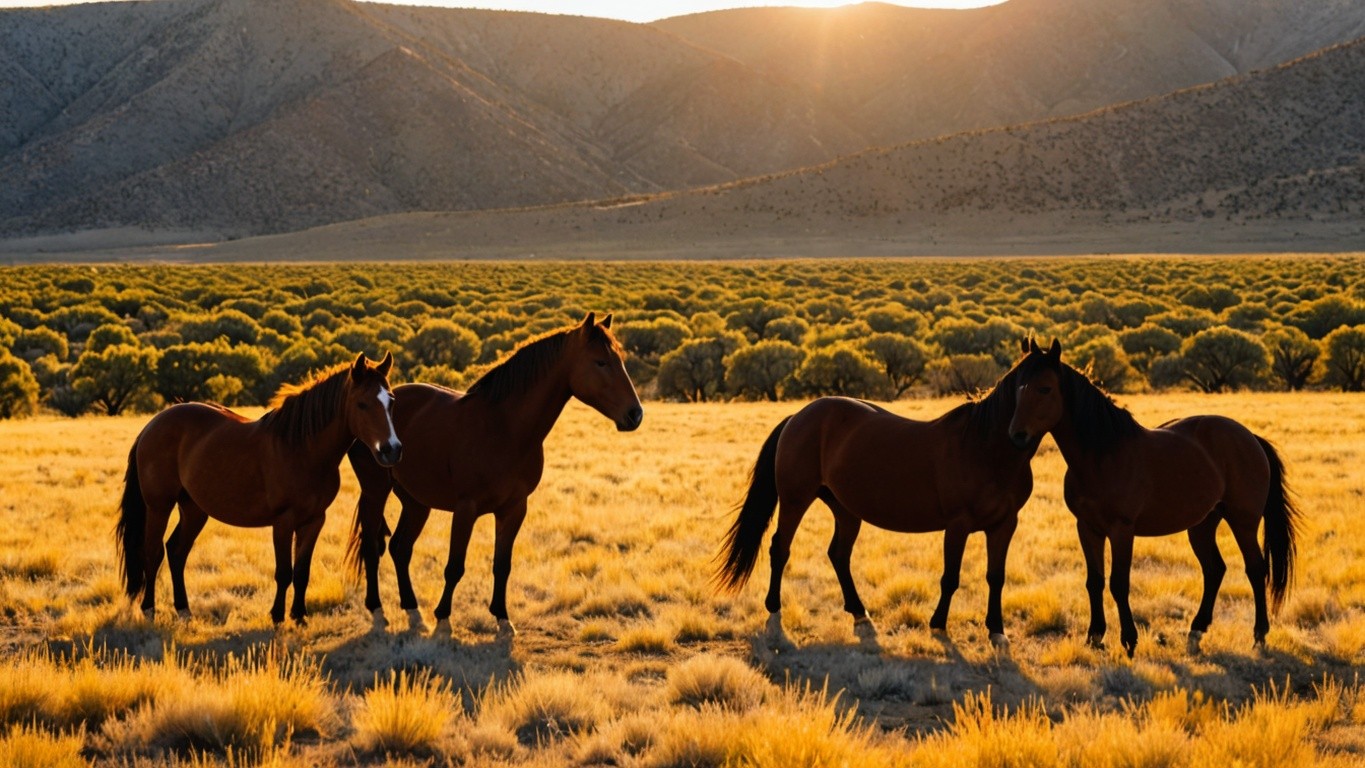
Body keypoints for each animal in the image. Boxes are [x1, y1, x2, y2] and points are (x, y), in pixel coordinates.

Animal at [116, 352, 401, 625]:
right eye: (362, 404)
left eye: (391, 402)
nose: (392, 450)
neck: (302, 450)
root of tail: (152, 424)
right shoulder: (284, 522)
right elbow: (284, 573)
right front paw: (277, 616)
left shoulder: (314, 520)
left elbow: (302, 572)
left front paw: (299, 616)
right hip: (159, 506)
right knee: (152, 553)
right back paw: (149, 609)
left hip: (193, 509)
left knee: (176, 552)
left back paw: (184, 611)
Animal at [345, 312, 642, 639]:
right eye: (600, 362)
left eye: (620, 360)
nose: (635, 414)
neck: (504, 428)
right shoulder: (466, 508)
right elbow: (455, 566)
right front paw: (444, 619)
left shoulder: (514, 509)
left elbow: (502, 565)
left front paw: (502, 618)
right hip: (375, 491)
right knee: (373, 547)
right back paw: (377, 610)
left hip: (415, 502)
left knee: (400, 548)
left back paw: (413, 610)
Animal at [714, 344, 1042, 651]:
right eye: (1027, 389)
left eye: (1045, 389)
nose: (1019, 434)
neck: (984, 449)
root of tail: (798, 416)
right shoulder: (957, 525)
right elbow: (951, 577)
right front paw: (938, 625)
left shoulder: (1004, 525)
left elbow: (995, 576)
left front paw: (997, 631)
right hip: (796, 500)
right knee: (780, 549)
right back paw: (774, 612)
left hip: (845, 509)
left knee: (838, 554)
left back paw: (859, 612)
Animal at [1007, 339, 1299, 656]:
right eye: (1018, 387)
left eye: (1045, 388)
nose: (1016, 435)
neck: (1103, 457)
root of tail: (1251, 438)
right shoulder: (1087, 528)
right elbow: (1095, 581)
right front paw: (1095, 636)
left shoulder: (1122, 530)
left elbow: (1119, 583)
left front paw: (1129, 640)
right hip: (1203, 524)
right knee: (1214, 570)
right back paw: (1196, 632)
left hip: (1243, 522)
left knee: (1256, 569)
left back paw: (1259, 635)